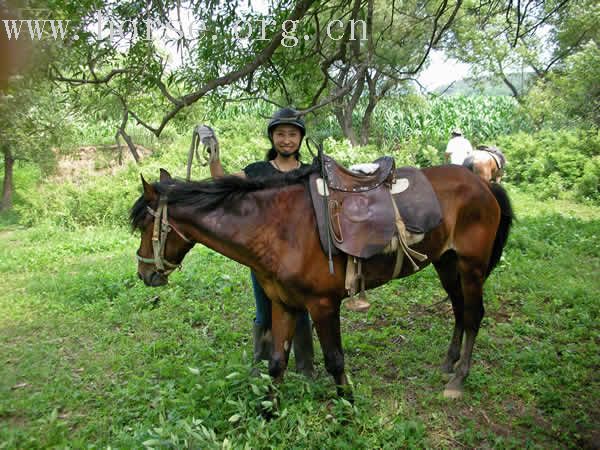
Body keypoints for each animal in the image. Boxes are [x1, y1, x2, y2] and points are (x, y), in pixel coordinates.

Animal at [134, 164, 512, 400]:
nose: (144, 274)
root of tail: (483, 183)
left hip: (471, 266)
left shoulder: (323, 305)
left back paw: (459, 379)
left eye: (143, 226)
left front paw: (348, 405)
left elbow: (335, 360)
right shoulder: (283, 304)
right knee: (459, 310)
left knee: (473, 314)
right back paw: (449, 363)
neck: (279, 227)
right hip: (446, 263)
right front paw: (268, 412)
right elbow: (276, 362)